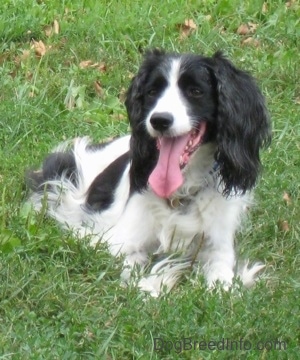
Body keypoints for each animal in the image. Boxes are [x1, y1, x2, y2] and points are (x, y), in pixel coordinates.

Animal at [27, 49, 272, 296]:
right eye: (152, 91)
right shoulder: (113, 241)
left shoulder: (218, 246)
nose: (159, 120)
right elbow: (132, 264)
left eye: (195, 91)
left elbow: (222, 281)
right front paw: (152, 285)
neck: (181, 193)